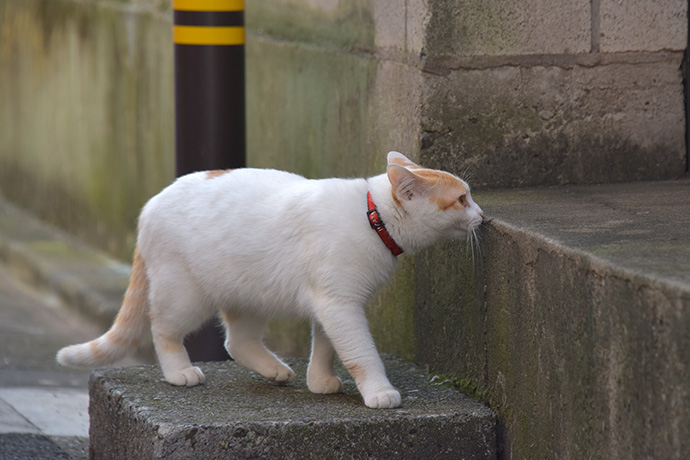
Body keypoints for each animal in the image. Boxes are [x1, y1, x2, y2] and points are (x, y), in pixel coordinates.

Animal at [56, 152, 482, 410]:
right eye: (462, 200)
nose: (482, 214)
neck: (371, 216)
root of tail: (150, 204)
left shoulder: (331, 303)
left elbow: (326, 347)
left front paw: (319, 380)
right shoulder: (340, 305)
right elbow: (361, 354)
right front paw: (379, 391)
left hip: (249, 294)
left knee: (237, 341)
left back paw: (274, 370)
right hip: (185, 296)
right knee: (163, 329)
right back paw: (179, 372)